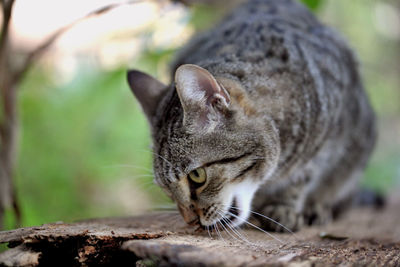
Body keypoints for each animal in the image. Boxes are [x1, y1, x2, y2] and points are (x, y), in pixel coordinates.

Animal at [126, 0, 376, 232]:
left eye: (197, 176)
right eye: (167, 190)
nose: (190, 220)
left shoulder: (327, 144)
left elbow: (302, 178)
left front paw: (284, 206)